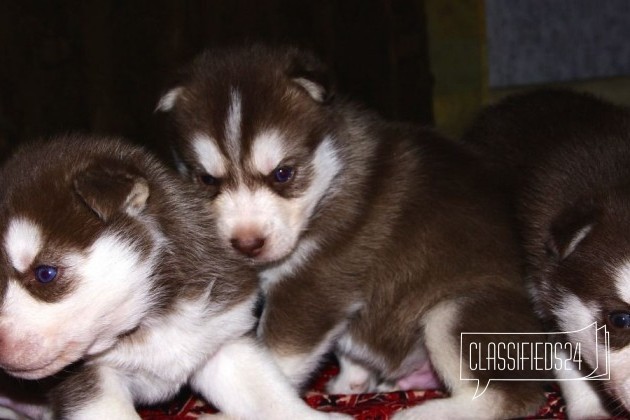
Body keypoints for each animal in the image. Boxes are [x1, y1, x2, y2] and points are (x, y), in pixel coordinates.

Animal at [157, 44, 552, 418]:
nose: (246, 243)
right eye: (207, 180)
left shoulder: (313, 285)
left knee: (512, 396)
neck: (332, 180)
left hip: (452, 310)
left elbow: (273, 364)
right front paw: (351, 383)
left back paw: (421, 412)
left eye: (283, 173)